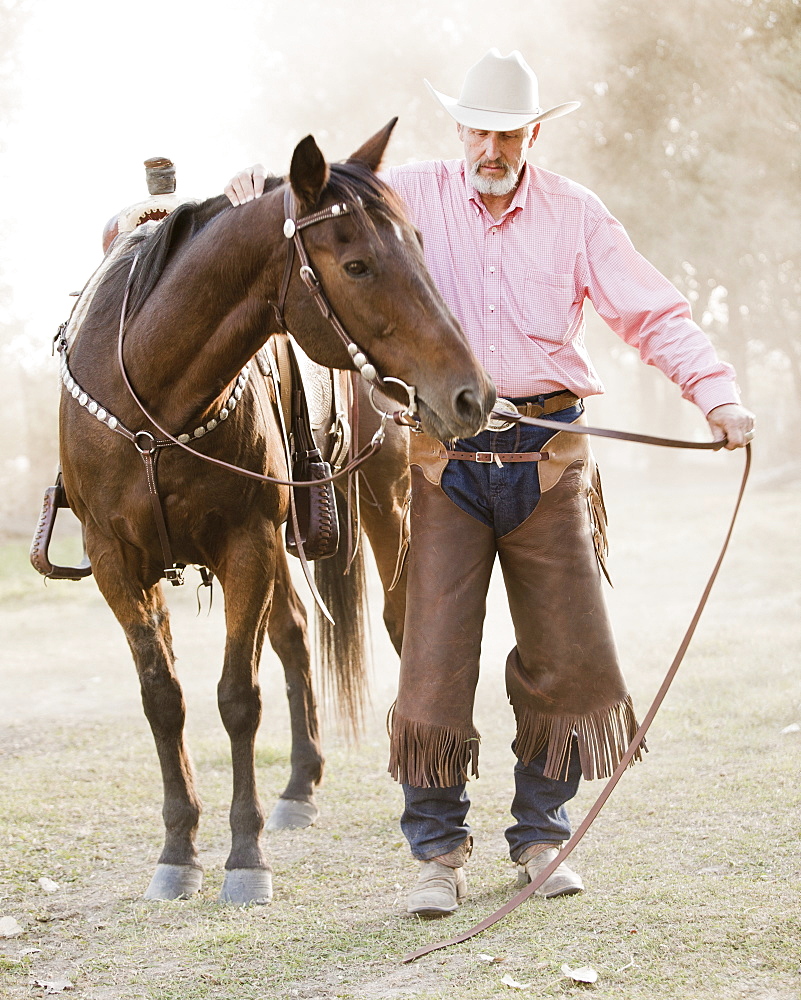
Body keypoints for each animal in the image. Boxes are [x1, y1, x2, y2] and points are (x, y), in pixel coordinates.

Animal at [57, 121, 494, 904]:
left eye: (418, 245)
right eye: (356, 265)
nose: (469, 393)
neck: (151, 396)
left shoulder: (246, 545)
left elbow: (237, 698)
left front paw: (244, 857)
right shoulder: (118, 563)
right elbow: (163, 697)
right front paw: (178, 850)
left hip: (382, 505)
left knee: (398, 622)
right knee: (291, 633)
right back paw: (298, 785)